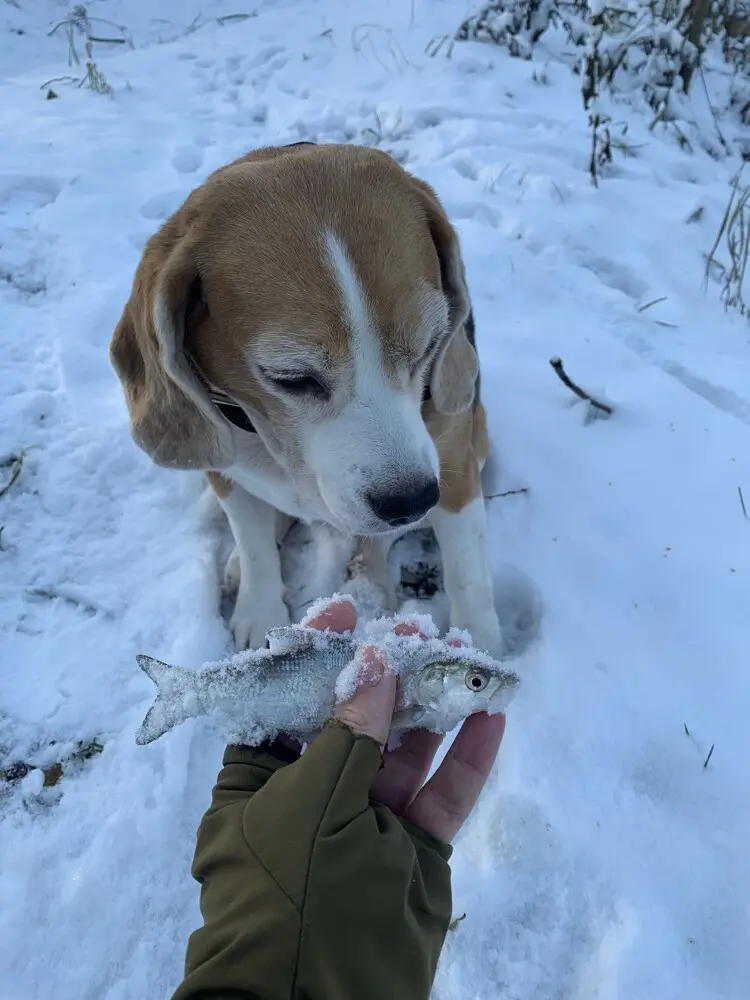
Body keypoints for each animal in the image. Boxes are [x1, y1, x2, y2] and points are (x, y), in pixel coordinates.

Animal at [108, 141, 506, 656]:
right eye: (291, 378)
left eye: (431, 347)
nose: (411, 500)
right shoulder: (228, 469)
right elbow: (254, 545)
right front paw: (260, 611)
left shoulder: (454, 464)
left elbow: (466, 568)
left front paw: (478, 644)